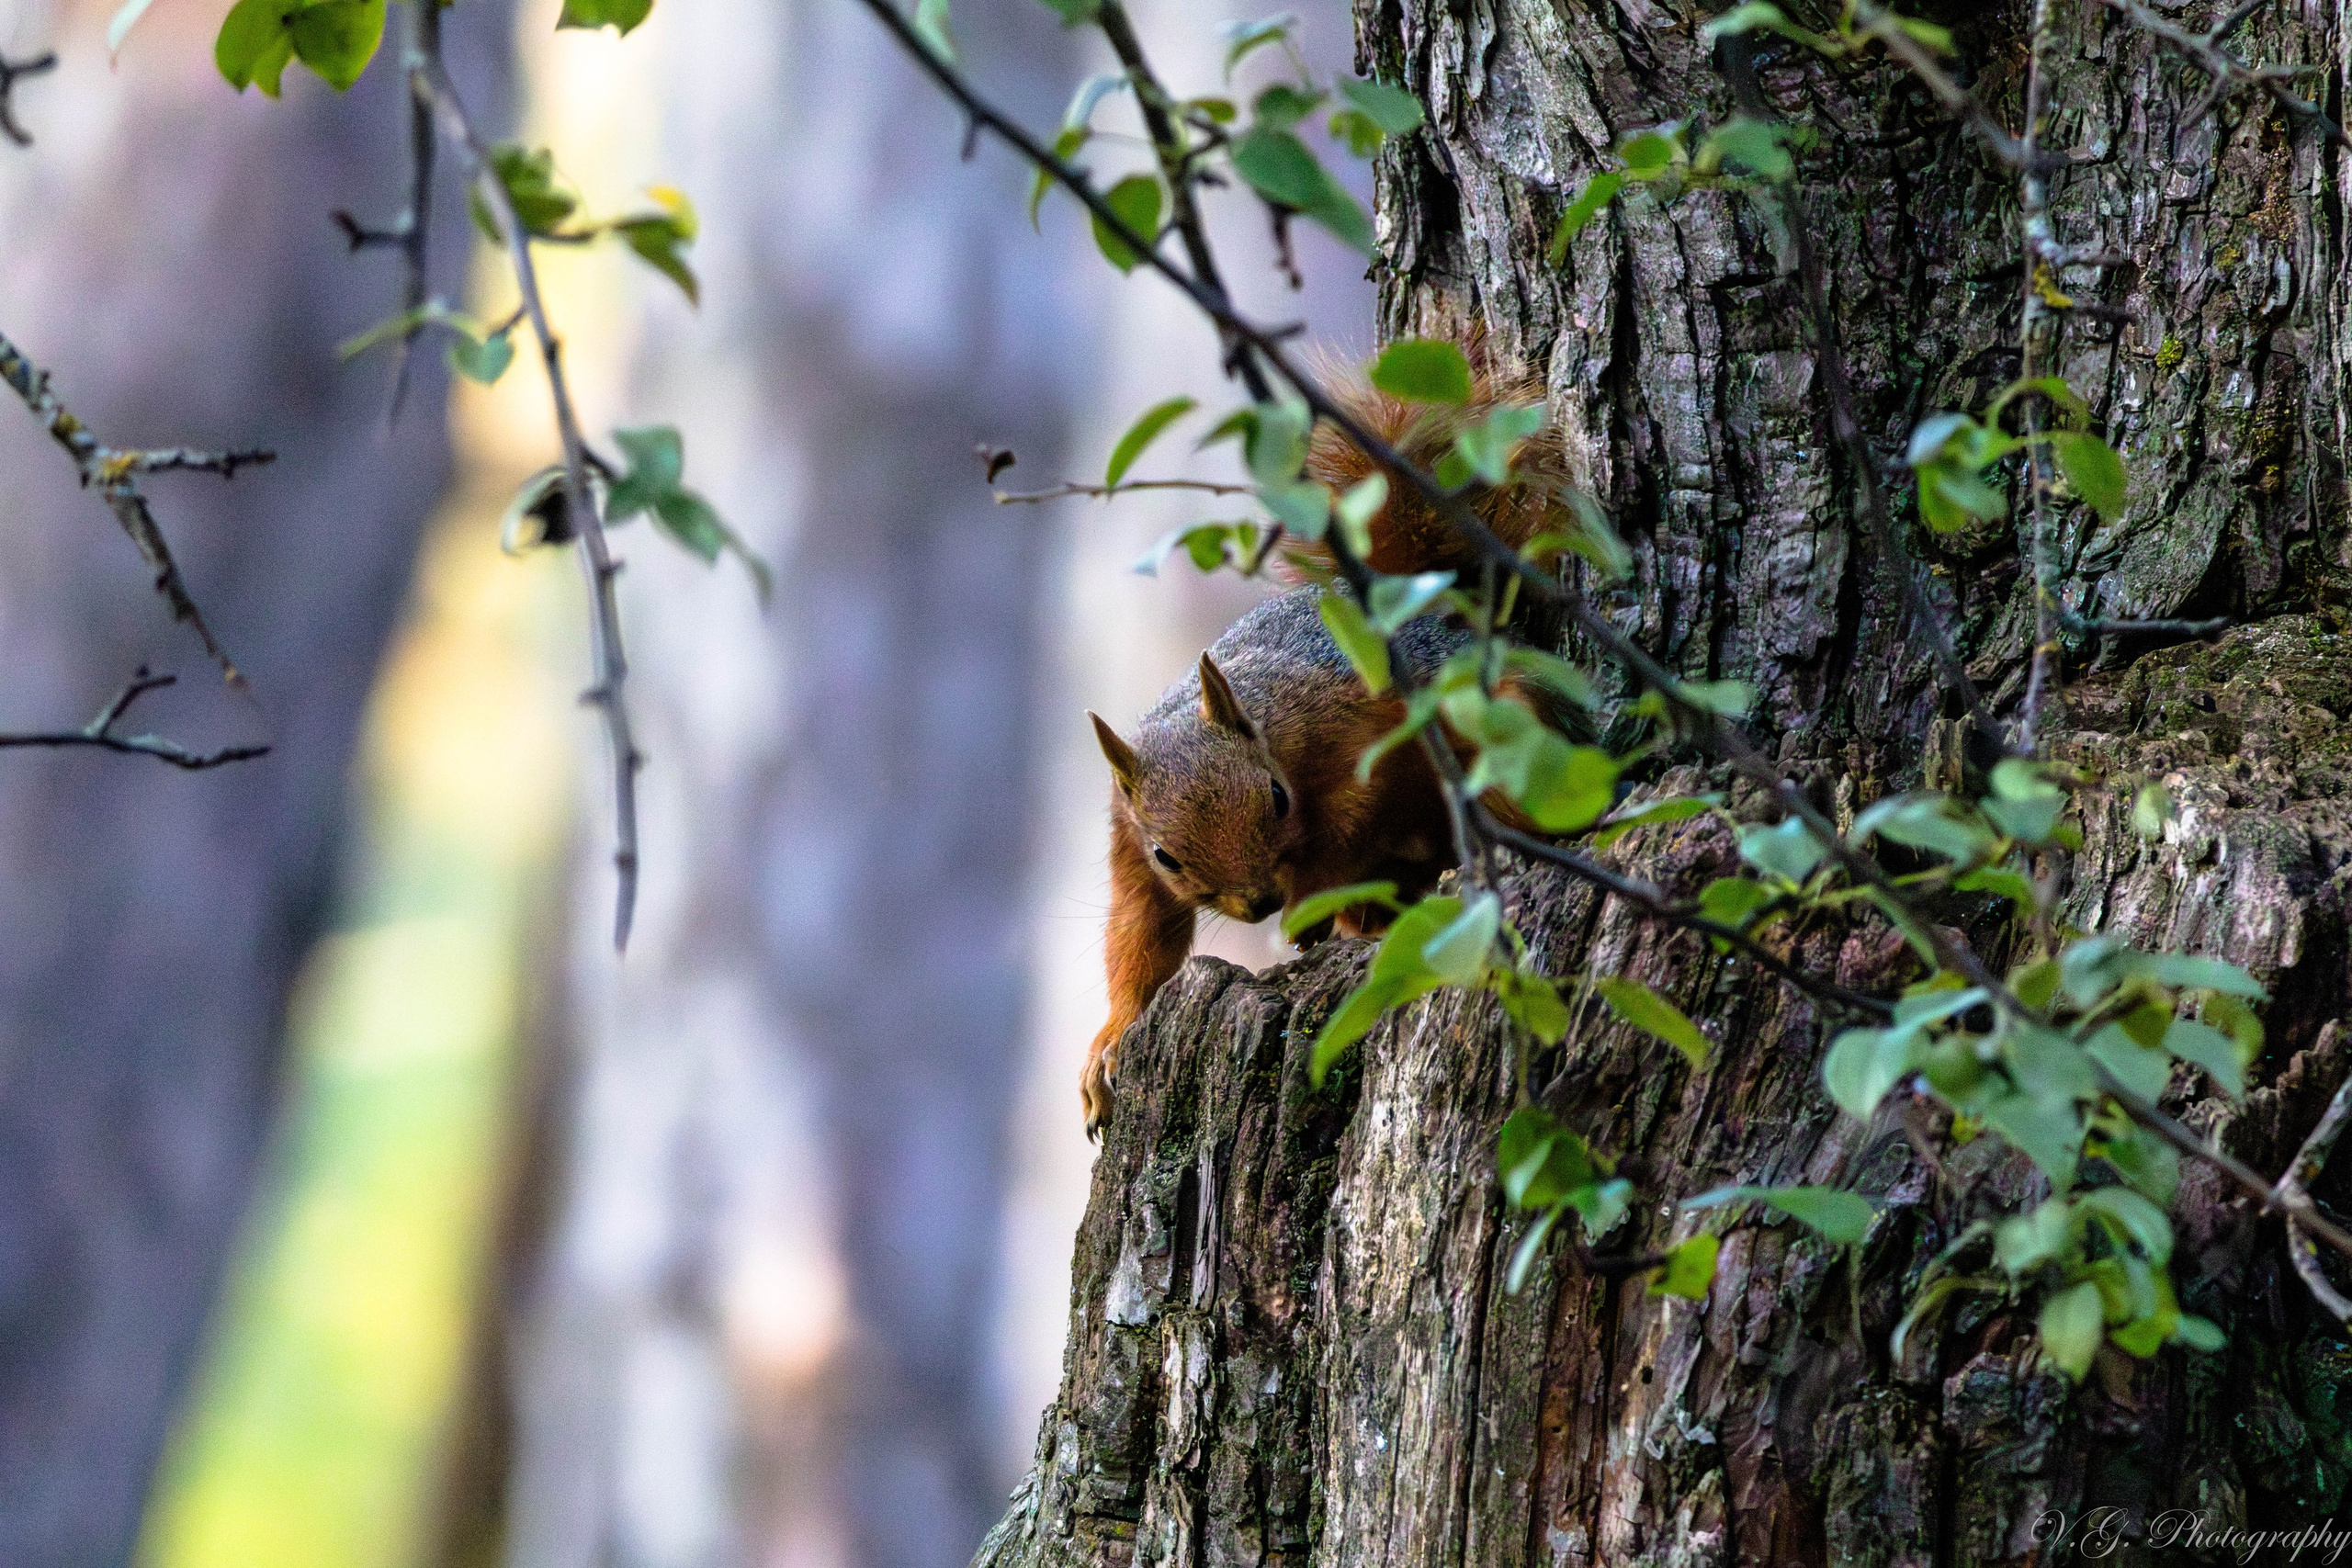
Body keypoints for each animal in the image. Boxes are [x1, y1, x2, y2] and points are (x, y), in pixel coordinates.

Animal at [1079, 361, 1574, 1134]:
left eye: (1277, 798)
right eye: (1168, 855)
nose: (1258, 903)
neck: (1267, 726)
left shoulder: (1356, 732)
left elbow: (1344, 828)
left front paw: (1308, 910)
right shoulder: (1127, 840)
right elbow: (1142, 937)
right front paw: (1108, 1044)